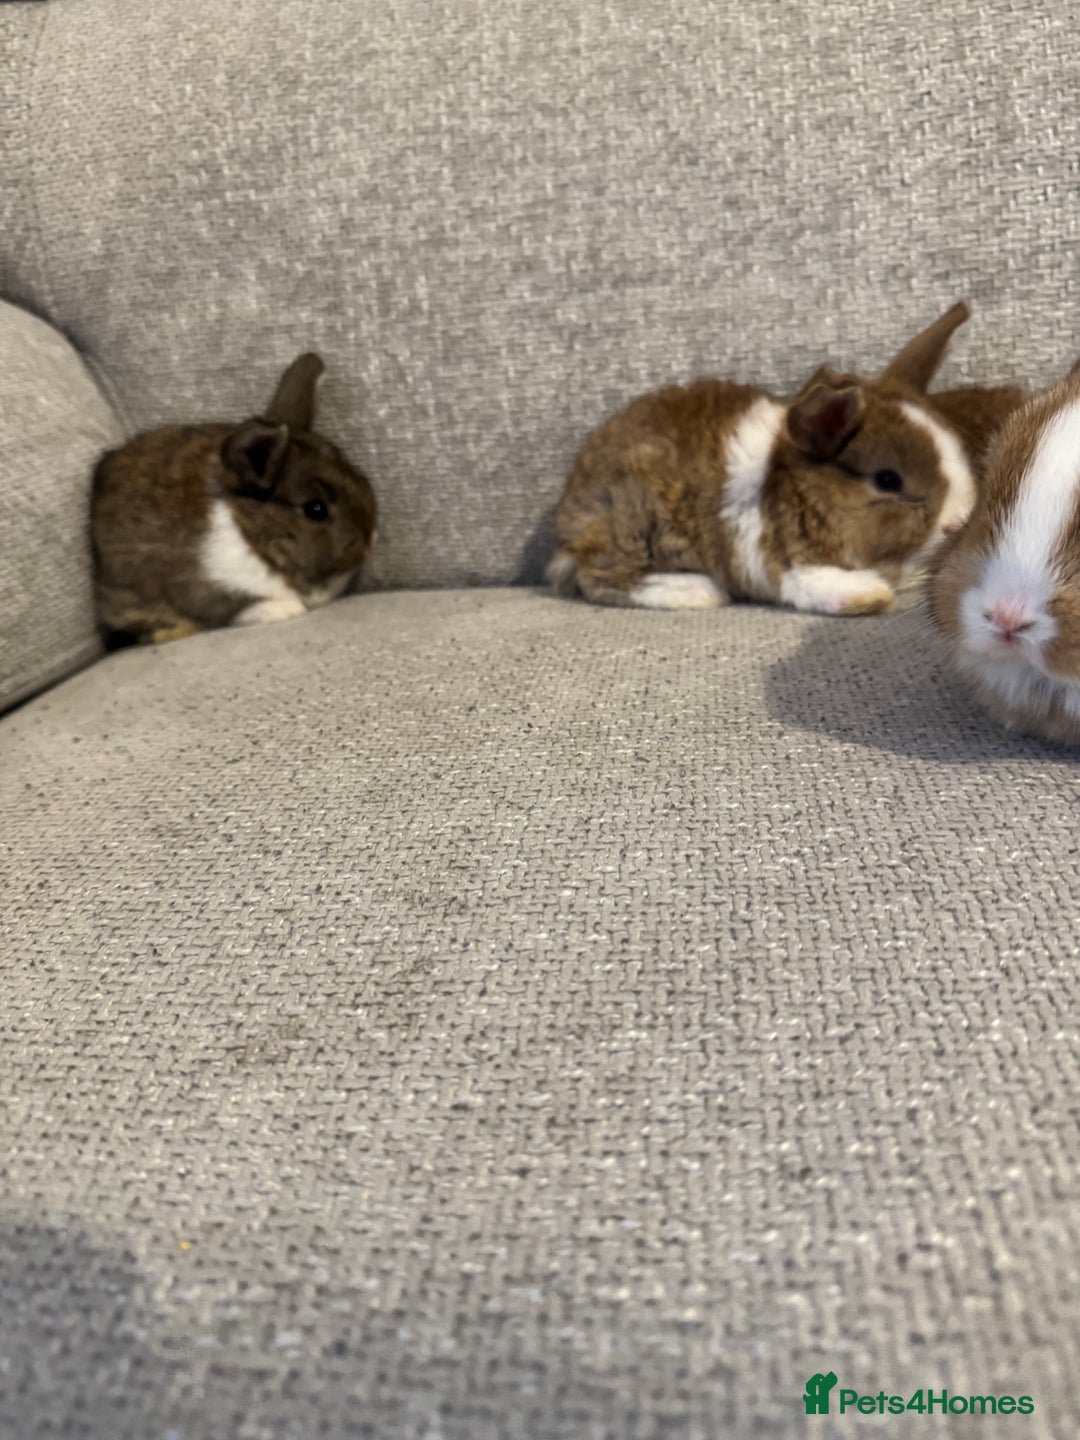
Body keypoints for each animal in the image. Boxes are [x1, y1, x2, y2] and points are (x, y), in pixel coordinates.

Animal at [92, 353, 376, 645]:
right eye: (315, 509)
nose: (370, 539)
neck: (251, 531)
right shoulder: (209, 590)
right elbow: (240, 608)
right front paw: (286, 609)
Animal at [549, 302, 1025, 616]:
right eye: (888, 480)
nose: (958, 522)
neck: (797, 491)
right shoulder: (780, 560)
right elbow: (820, 585)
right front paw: (870, 595)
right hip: (632, 528)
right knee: (596, 577)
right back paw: (696, 590)